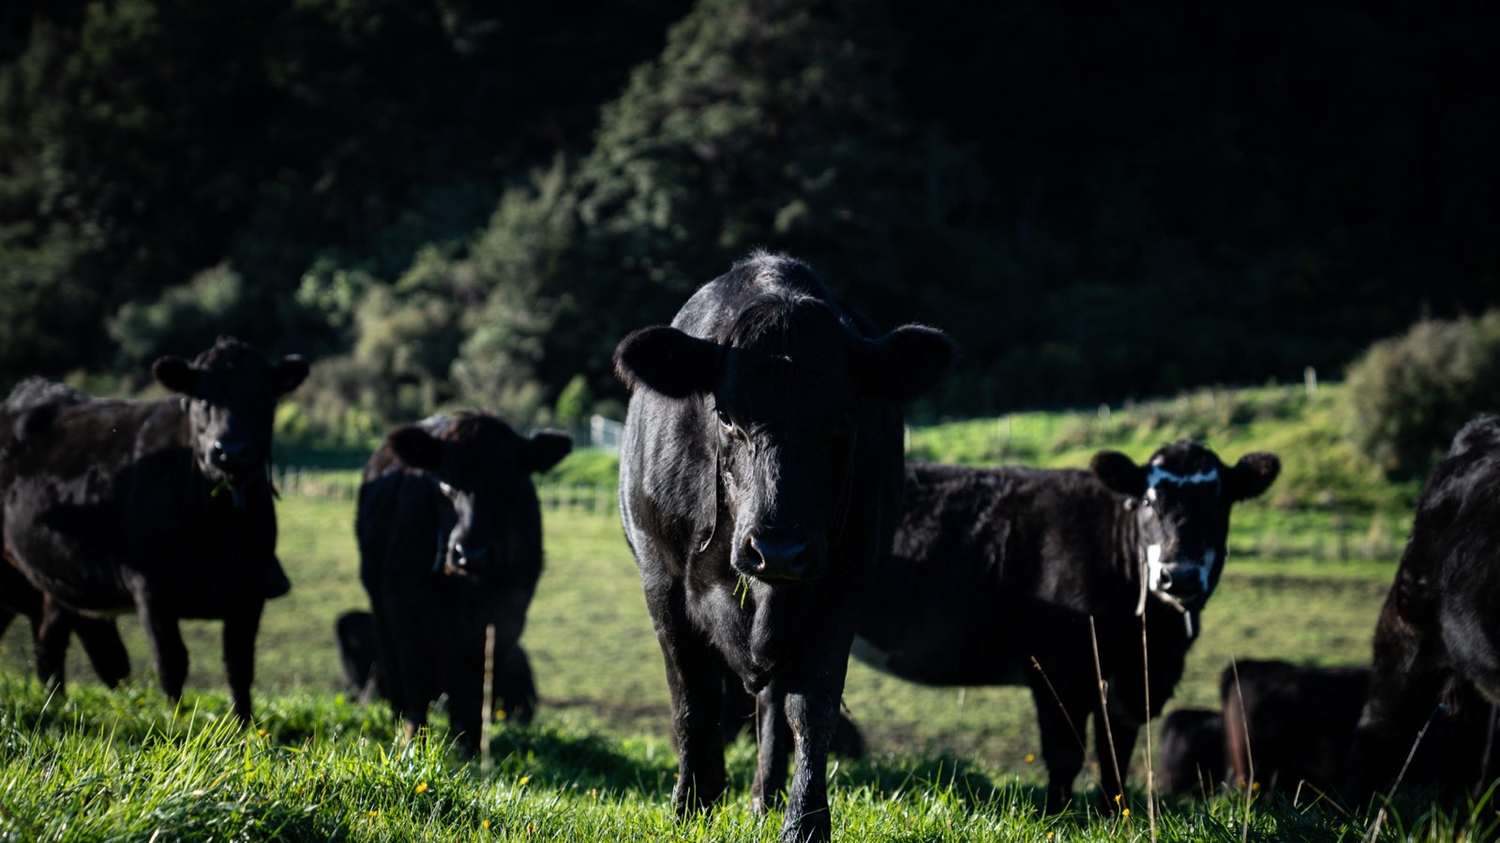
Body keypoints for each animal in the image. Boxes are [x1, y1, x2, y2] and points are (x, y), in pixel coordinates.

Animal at [0, 337, 304, 721]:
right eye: (202, 398)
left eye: (263, 398)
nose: (230, 451)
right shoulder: (151, 589)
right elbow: (172, 663)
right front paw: (177, 724)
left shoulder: (250, 590)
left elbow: (239, 666)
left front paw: (243, 726)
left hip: (56, 586)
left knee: (51, 643)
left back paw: (56, 703)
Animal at [355, 413, 570, 755]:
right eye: (445, 484)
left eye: (508, 486)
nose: (470, 553)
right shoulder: (405, 614)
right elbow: (416, 682)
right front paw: (414, 742)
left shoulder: (505, 619)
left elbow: (475, 685)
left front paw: (469, 743)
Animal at [614, 251, 953, 843]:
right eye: (726, 417)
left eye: (841, 423)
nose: (778, 549)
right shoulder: (662, 582)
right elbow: (691, 699)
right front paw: (691, 806)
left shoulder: (842, 584)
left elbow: (810, 706)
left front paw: (805, 821)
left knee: (772, 705)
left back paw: (763, 799)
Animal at [848, 444, 1280, 812]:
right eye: (1148, 501)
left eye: (1219, 504)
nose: (1180, 576)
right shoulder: (1057, 668)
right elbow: (1065, 752)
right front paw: (1057, 814)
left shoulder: (1130, 680)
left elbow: (1114, 750)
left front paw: (1114, 812)